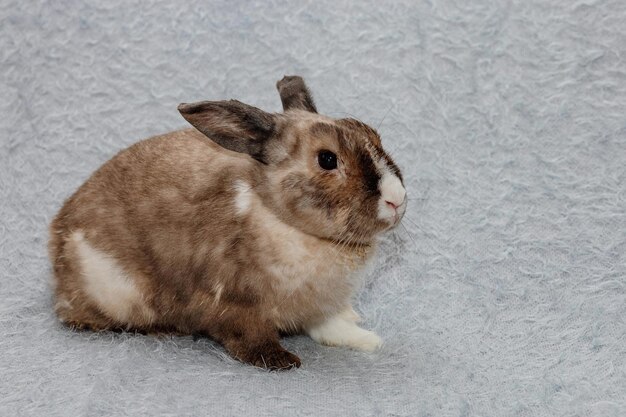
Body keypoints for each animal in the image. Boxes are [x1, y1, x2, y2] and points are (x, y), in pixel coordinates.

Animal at [50, 75, 410, 368]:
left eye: (373, 134)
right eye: (327, 159)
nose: (397, 199)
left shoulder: (320, 306)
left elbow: (330, 327)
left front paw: (368, 340)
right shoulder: (234, 301)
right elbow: (249, 336)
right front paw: (280, 361)